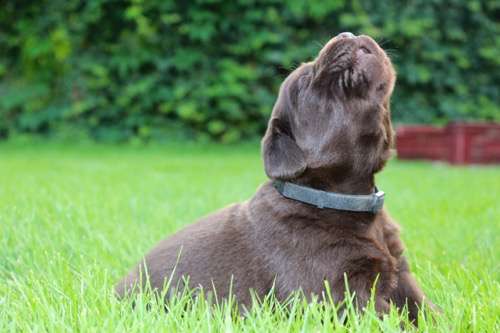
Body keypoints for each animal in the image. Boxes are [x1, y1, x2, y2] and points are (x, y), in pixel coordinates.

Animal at [116, 32, 434, 320]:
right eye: (304, 82)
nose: (347, 33)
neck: (338, 196)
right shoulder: (341, 293)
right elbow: (388, 319)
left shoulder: (401, 273)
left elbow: (426, 308)